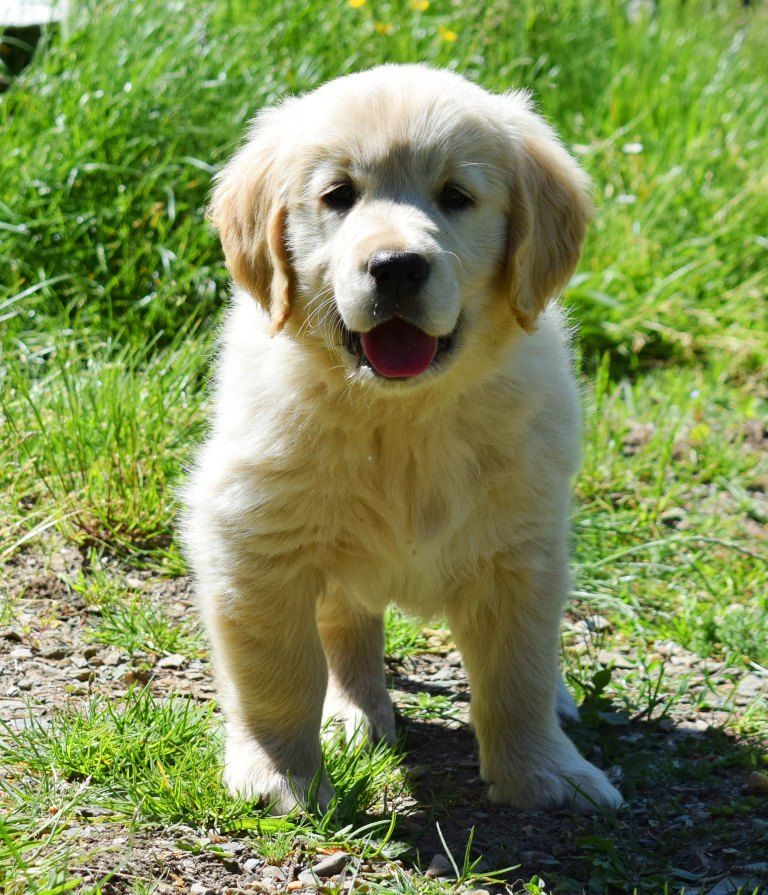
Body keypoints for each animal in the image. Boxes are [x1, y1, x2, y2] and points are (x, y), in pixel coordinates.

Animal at [183, 64, 623, 815]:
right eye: (338, 196)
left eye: (456, 197)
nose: (396, 266)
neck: (402, 417)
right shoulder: (255, 537)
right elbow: (278, 671)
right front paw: (281, 774)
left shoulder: (519, 546)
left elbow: (518, 673)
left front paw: (543, 772)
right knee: (346, 625)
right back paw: (353, 711)